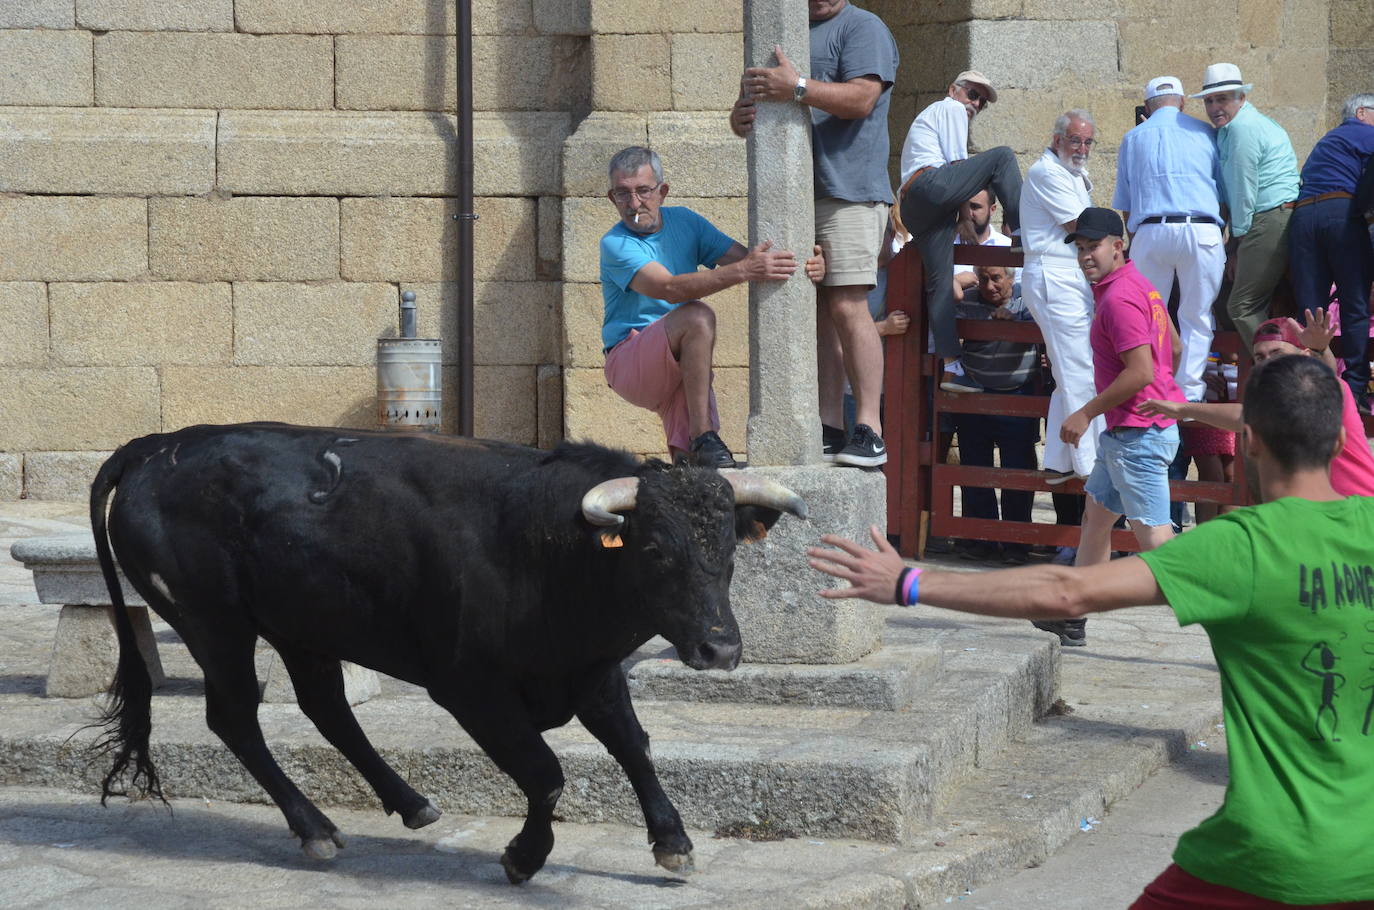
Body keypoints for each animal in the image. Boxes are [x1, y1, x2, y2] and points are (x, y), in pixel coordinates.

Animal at [88, 423, 802, 885]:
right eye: (654, 550)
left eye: (729, 550)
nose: (721, 647)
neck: (543, 540)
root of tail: (155, 447)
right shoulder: (471, 690)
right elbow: (545, 773)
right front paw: (524, 856)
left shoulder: (590, 672)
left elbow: (634, 747)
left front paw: (672, 841)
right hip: (215, 625)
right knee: (236, 719)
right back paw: (315, 829)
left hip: (302, 627)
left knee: (326, 708)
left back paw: (409, 804)